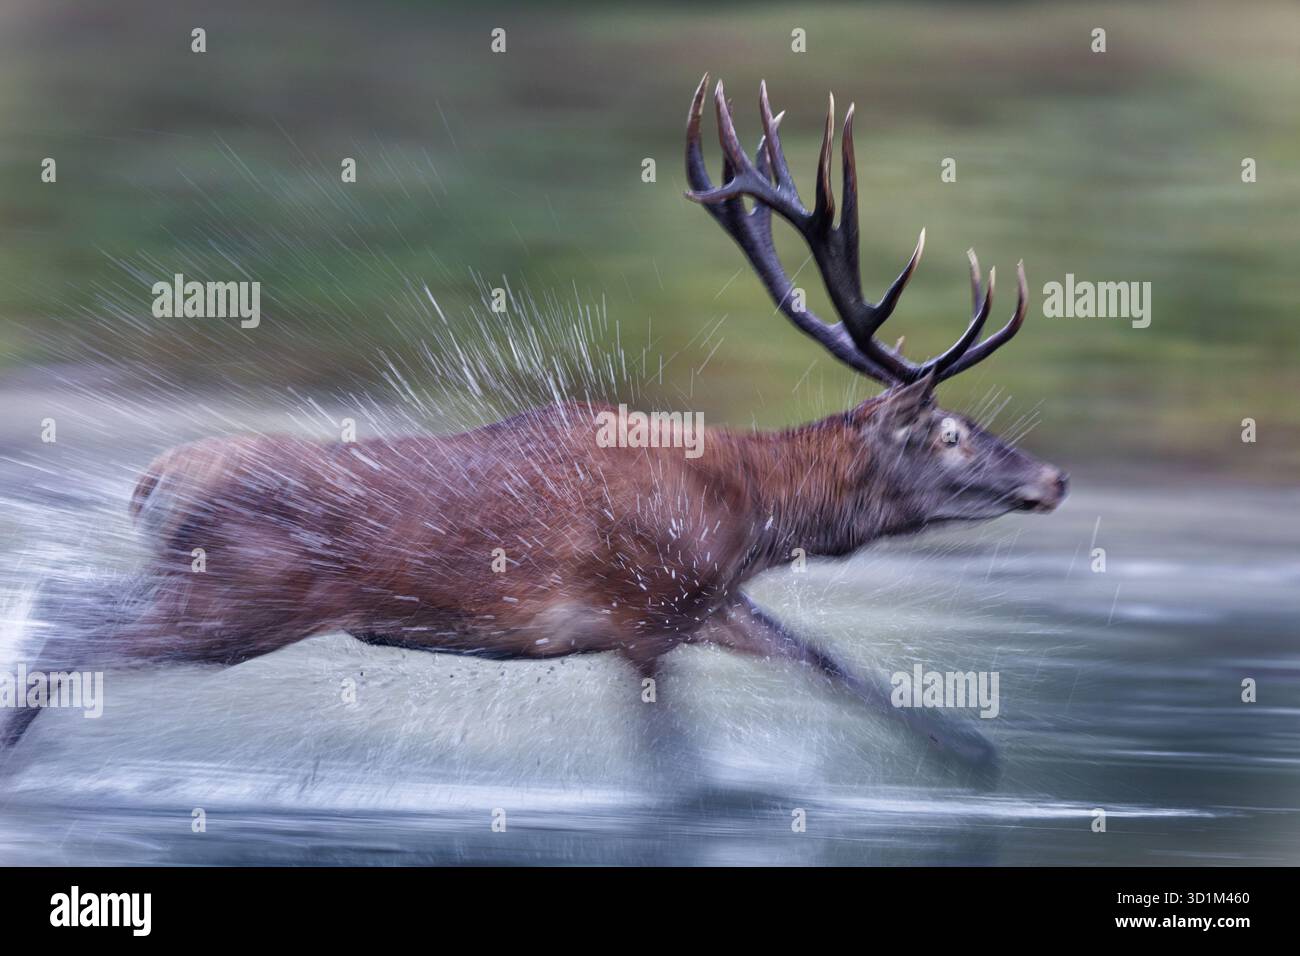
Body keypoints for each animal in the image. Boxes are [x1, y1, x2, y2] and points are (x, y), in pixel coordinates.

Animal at [1, 77, 1067, 785]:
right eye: (952, 432)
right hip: (241, 600)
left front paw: (972, 753)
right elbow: (678, 776)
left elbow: (825, 658)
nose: (1052, 479)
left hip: (210, 592)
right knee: (67, 620)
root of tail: (153, 478)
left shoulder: (704, 602)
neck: (747, 511)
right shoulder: (641, 615)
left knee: (67, 601)